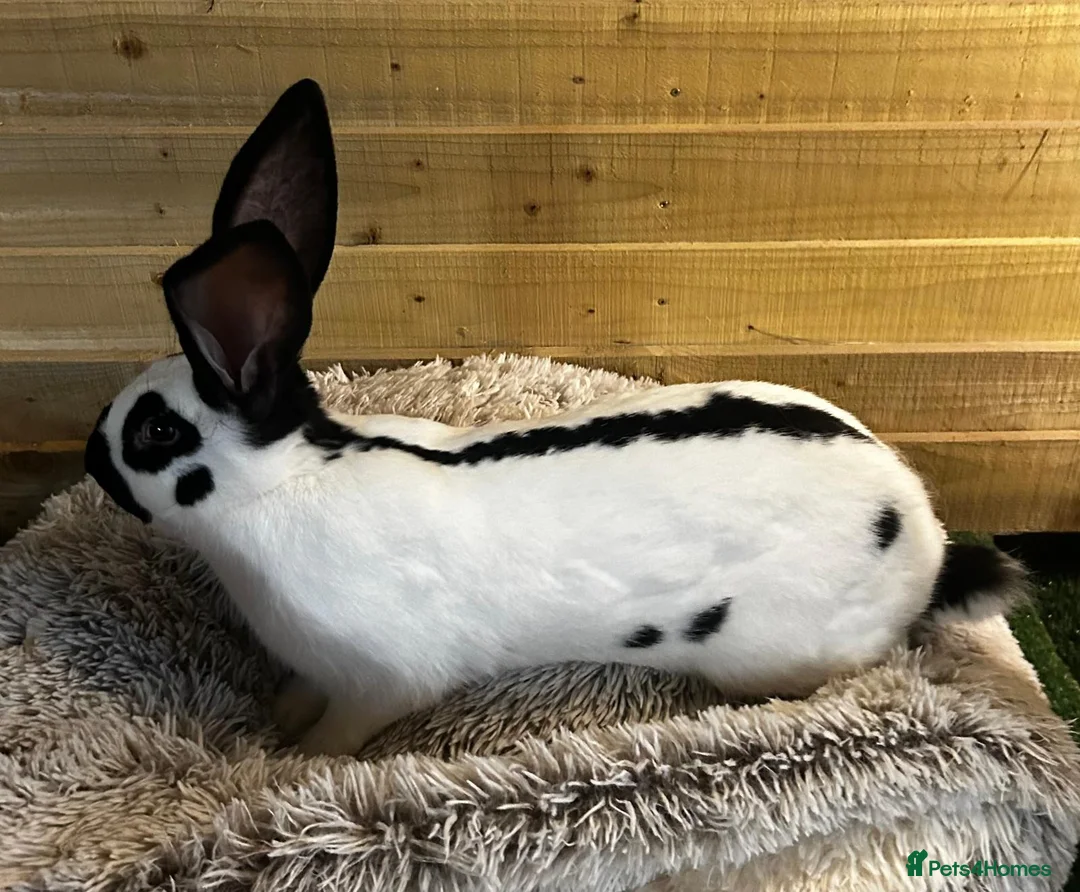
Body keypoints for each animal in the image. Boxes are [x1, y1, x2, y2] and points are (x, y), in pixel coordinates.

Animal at [84, 79, 1027, 756]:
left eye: (156, 432)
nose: (90, 459)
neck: (288, 482)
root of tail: (925, 543)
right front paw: (274, 721)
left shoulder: (381, 681)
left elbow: (343, 734)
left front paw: (293, 761)